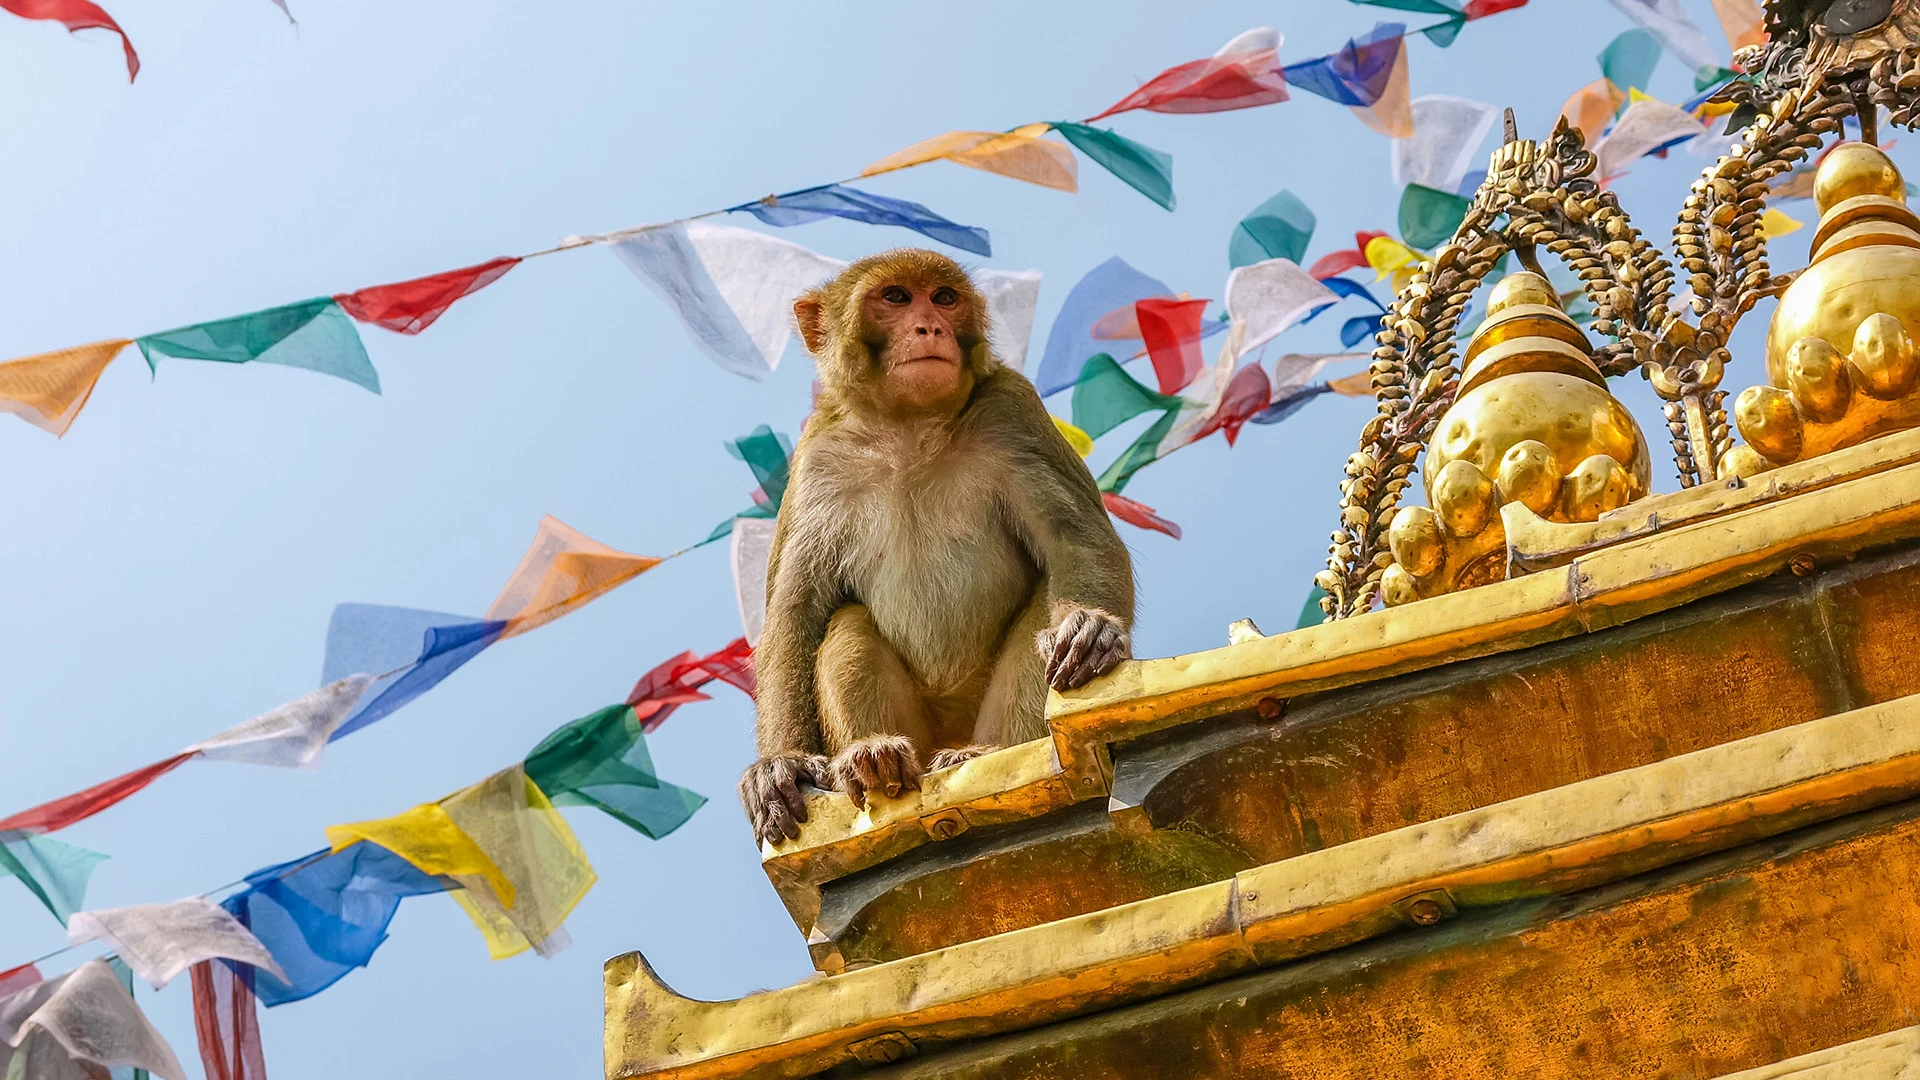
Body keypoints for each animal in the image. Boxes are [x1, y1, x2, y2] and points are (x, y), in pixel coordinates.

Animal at [738, 249, 1135, 847]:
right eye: (896, 297)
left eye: (944, 298)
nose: (930, 326)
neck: (908, 427)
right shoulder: (817, 460)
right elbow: (795, 611)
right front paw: (779, 765)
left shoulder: (1012, 410)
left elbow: (1075, 540)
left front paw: (1091, 630)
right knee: (846, 622)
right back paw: (875, 759)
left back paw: (979, 753)